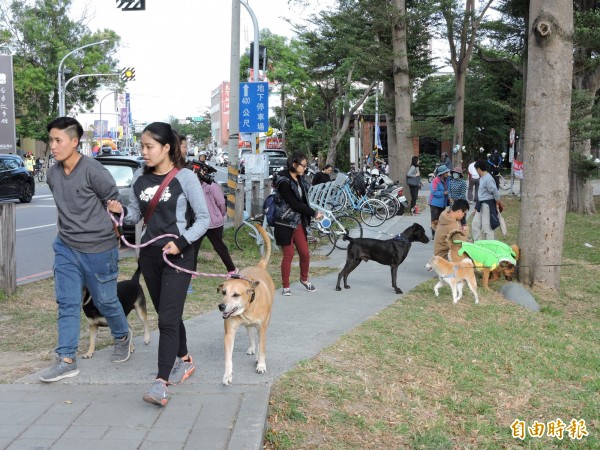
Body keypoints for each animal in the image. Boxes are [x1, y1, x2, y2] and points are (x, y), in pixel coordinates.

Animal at [217, 223, 276, 384]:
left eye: (236, 295)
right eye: (223, 292)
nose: (221, 306)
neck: (247, 309)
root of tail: (259, 266)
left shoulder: (262, 327)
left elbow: (262, 348)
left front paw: (261, 365)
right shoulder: (229, 333)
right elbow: (228, 358)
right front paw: (227, 375)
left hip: (266, 321)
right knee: (250, 331)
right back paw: (251, 347)